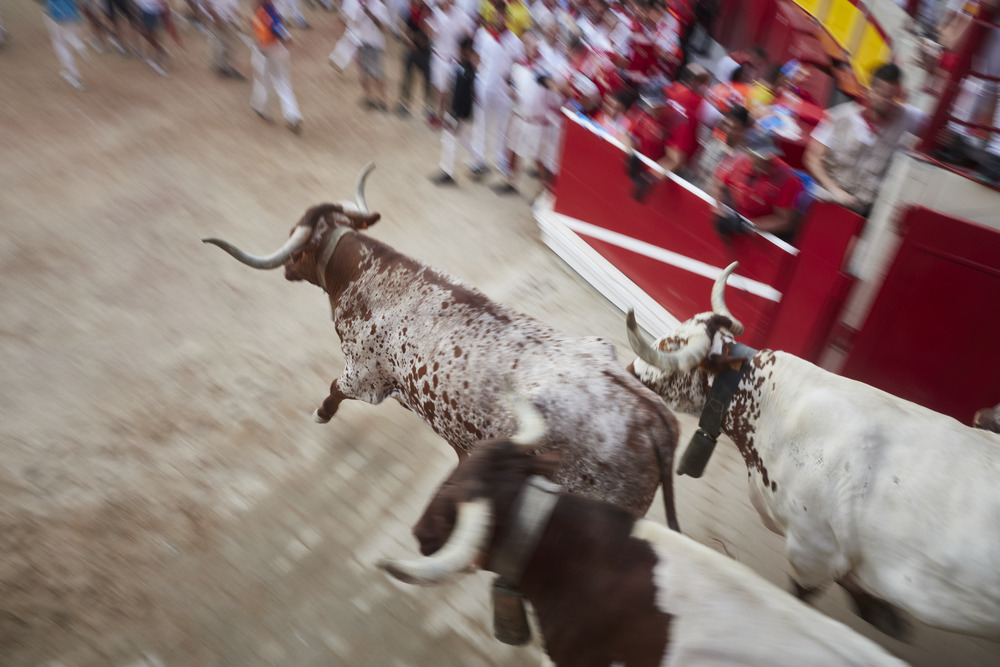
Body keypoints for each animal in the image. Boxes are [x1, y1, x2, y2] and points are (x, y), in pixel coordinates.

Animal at [205, 164, 688, 524]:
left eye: (297, 243)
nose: (287, 268)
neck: (370, 274)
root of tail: (655, 420)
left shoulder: (363, 377)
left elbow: (333, 390)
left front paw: (320, 414)